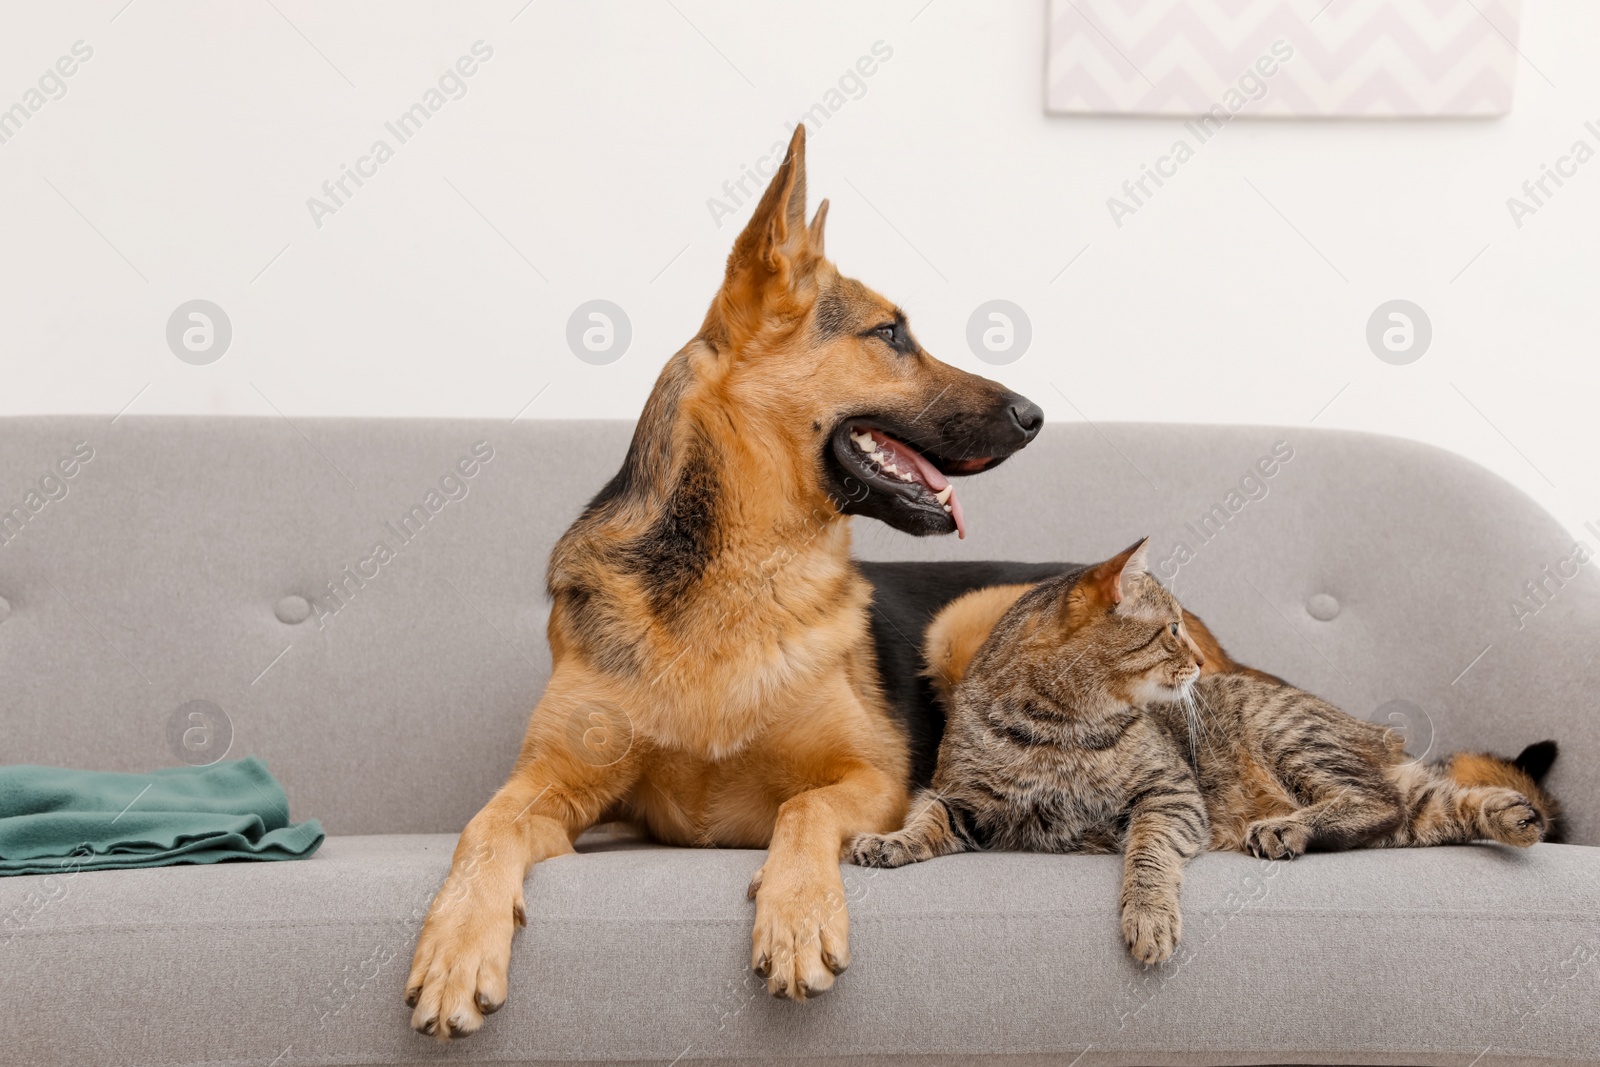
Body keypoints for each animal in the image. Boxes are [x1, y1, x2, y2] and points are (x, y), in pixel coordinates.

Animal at [406, 123, 1043, 1036]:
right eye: (891, 335)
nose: (1035, 415)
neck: (743, 574)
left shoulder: (871, 779)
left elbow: (801, 807)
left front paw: (799, 913)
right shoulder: (546, 787)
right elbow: (479, 829)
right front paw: (456, 945)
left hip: (969, 624)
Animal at [851, 537, 1561, 966]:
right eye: (1170, 630)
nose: (1194, 658)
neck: (1057, 728)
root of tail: (1376, 734)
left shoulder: (1169, 797)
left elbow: (1147, 858)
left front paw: (1148, 917)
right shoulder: (964, 802)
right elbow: (926, 820)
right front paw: (889, 842)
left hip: (1293, 739)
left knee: (1375, 798)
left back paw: (1284, 828)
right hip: (1405, 803)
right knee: (1431, 807)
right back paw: (1512, 815)